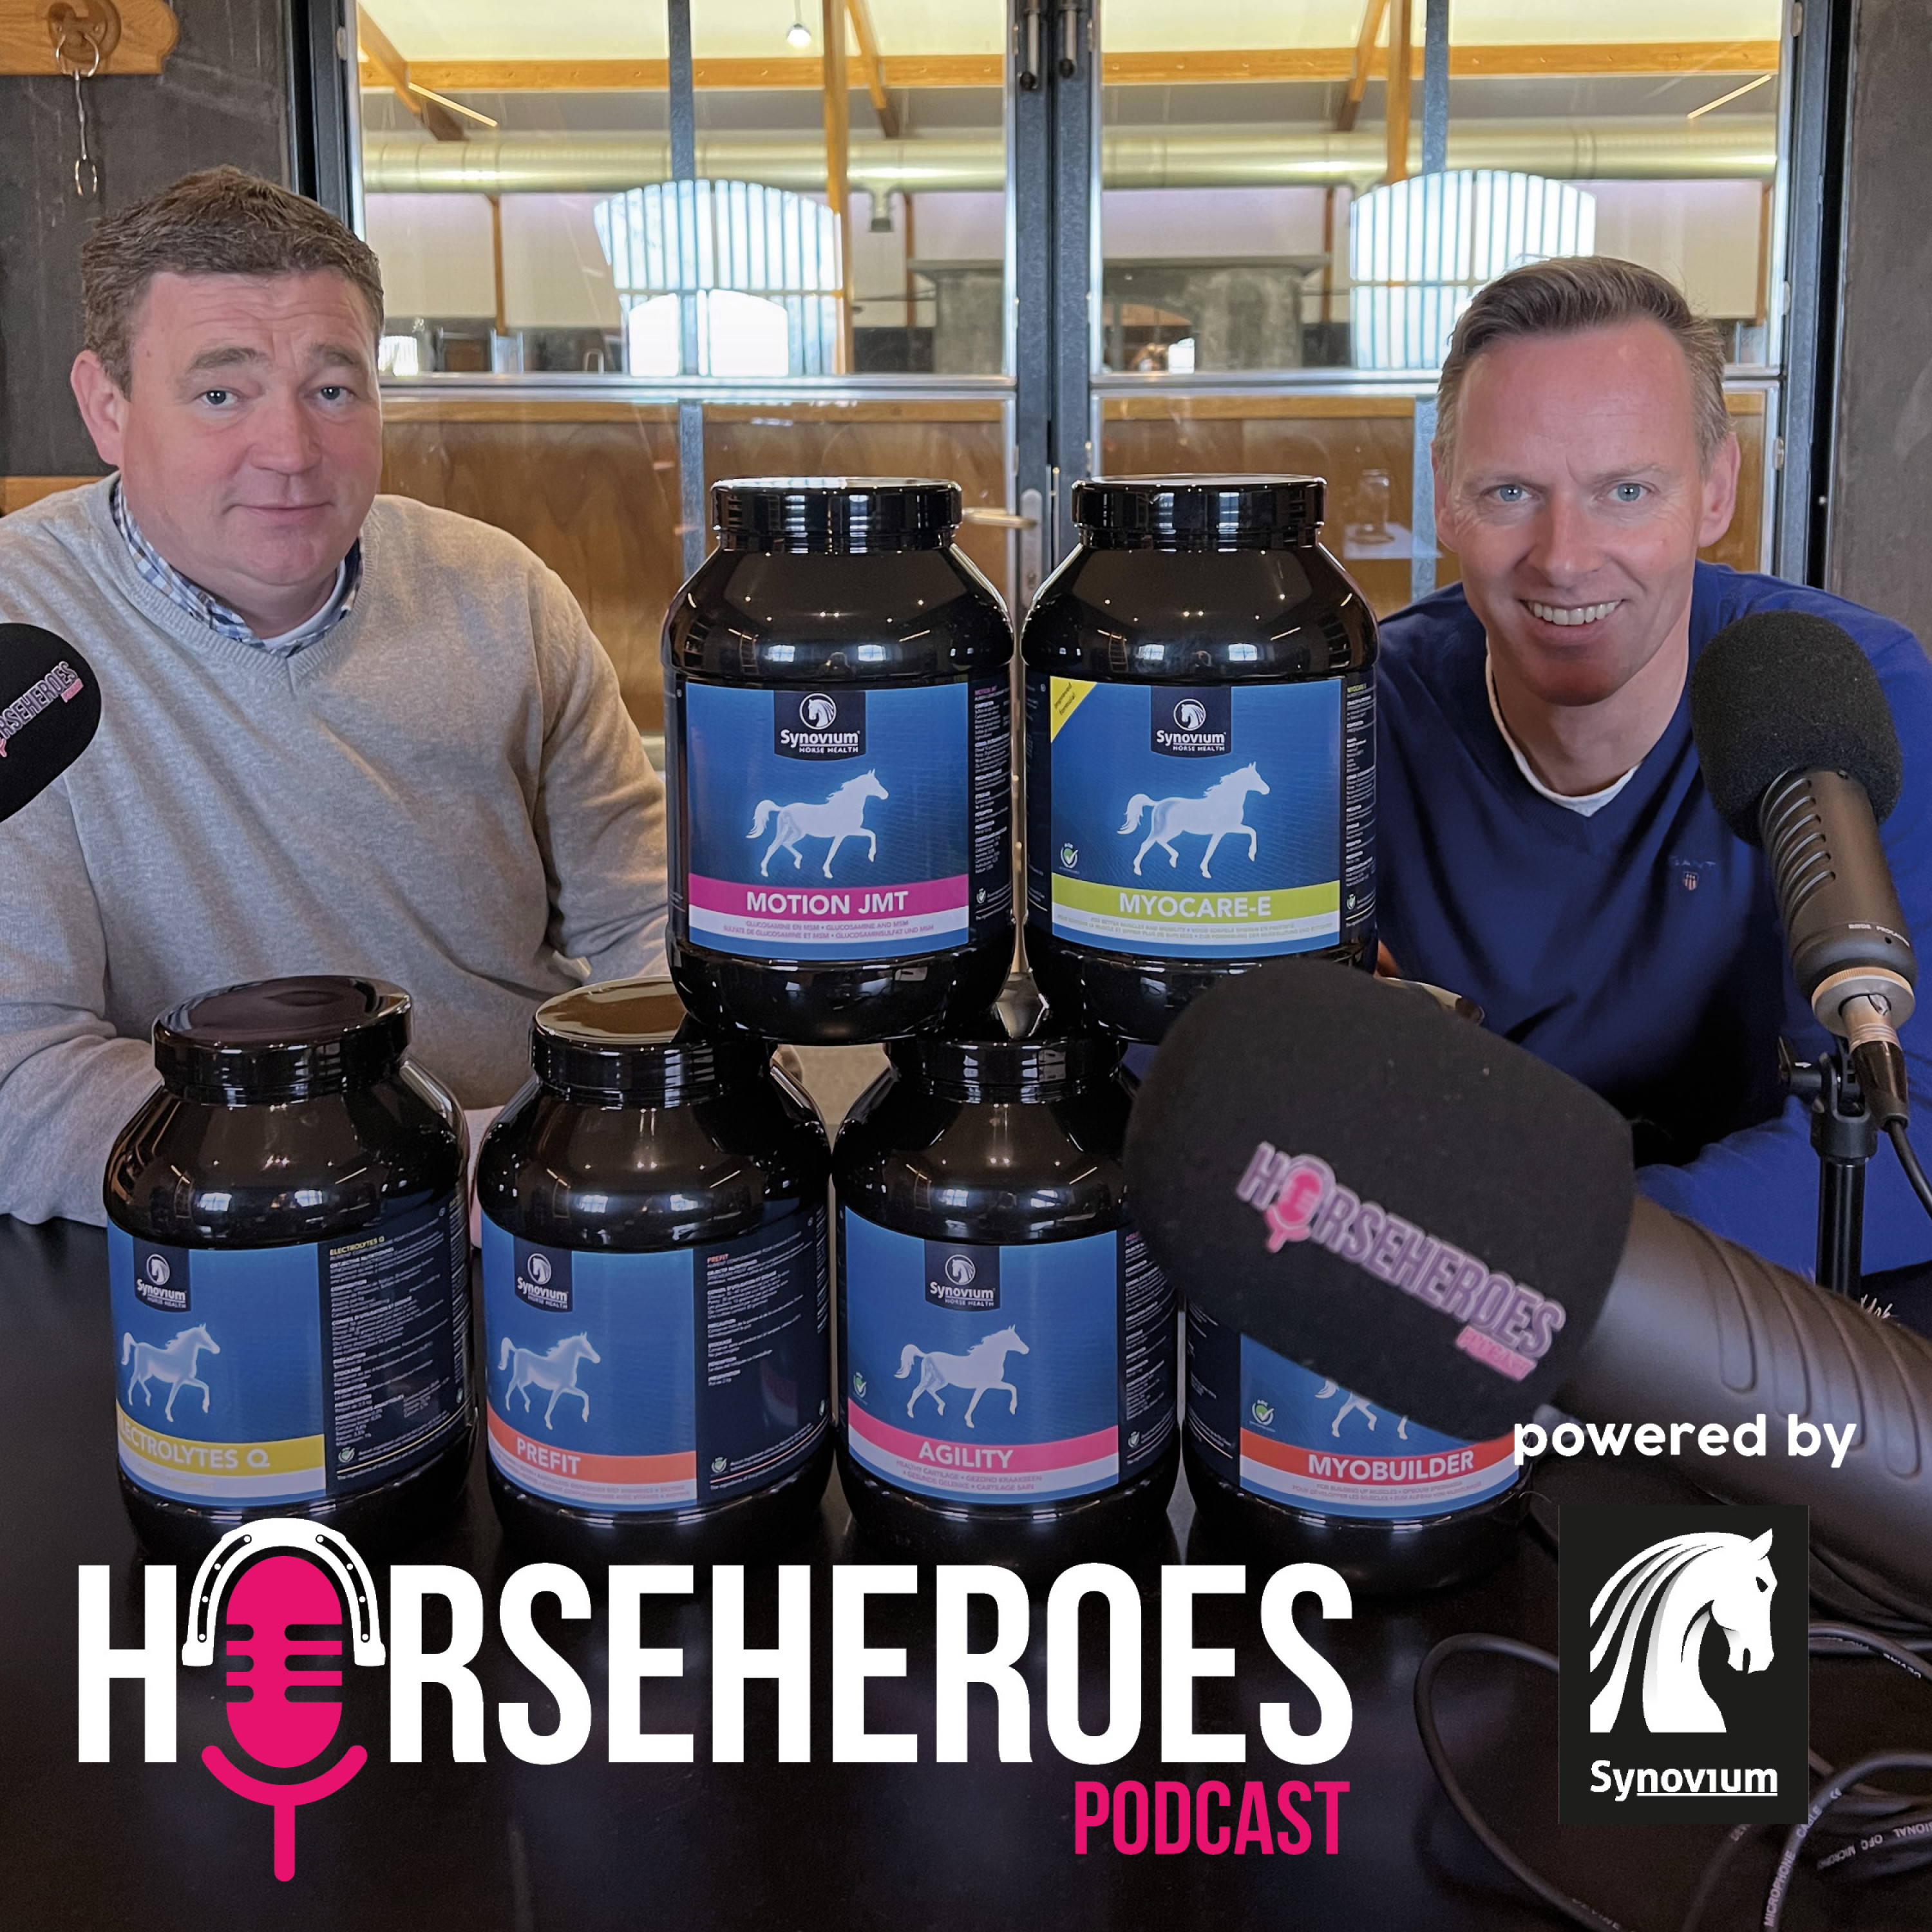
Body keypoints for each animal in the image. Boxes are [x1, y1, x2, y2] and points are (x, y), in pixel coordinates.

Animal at [122, 1324, 220, 1423]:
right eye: (206, 1337)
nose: (217, 1349)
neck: (183, 1357)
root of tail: (138, 1345)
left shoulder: (186, 1380)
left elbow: (205, 1386)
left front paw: (205, 1407)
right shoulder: (180, 1381)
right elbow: (172, 1397)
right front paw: (169, 1416)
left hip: (147, 1372)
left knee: (136, 1379)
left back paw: (136, 1400)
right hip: (144, 1370)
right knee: (138, 1379)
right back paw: (144, 1399)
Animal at [499, 1332, 601, 1430]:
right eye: (586, 1346)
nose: (598, 1359)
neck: (563, 1364)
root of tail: (517, 1351)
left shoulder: (567, 1389)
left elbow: (585, 1395)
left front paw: (585, 1416)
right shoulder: (560, 1389)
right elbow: (552, 1404)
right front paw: (548, 1424)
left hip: (528, 1379)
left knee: (519, 1385)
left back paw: (527, 1405)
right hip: (519, 1374)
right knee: (512, 1384)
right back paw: (508, 1406)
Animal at [747, 772, 889, 880]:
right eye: (875, 784)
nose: (886, 795)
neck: (846, 807)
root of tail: (784, 809)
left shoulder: (847, 833)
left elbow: (871, 834)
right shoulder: (846, 833)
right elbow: (835, 851)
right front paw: (828, 872)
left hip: (787, 832)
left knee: (774, 846)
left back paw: (771, 869)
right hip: (797, 833)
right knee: (782, 844)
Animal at [897, 1326, 1030, 1429]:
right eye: (1015, 1339)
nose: (1027, 1350)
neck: (987, 1360)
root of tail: (927, 1355)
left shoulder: (991, 1384)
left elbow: (1012, 1388)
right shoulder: (986, 1385)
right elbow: (975, 1402)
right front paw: (969, 1422)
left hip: (934, 1379)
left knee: (922, 1390)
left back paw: (920, 1411)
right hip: (939, 1380)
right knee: (924, 1390)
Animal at [1118, 764, 1270, 879]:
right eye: (1255, 778)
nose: (1267, 790)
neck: (1226, 802)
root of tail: (1159, 804)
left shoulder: (1228, 829)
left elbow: (1251, 831)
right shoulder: (1224, 830)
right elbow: (1212, 849)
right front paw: (1206, 871)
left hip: (1167, 830)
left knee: (1155, 842)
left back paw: (1171, 860)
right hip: (1169, 830)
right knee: (1149, 843)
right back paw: (1139, 869)